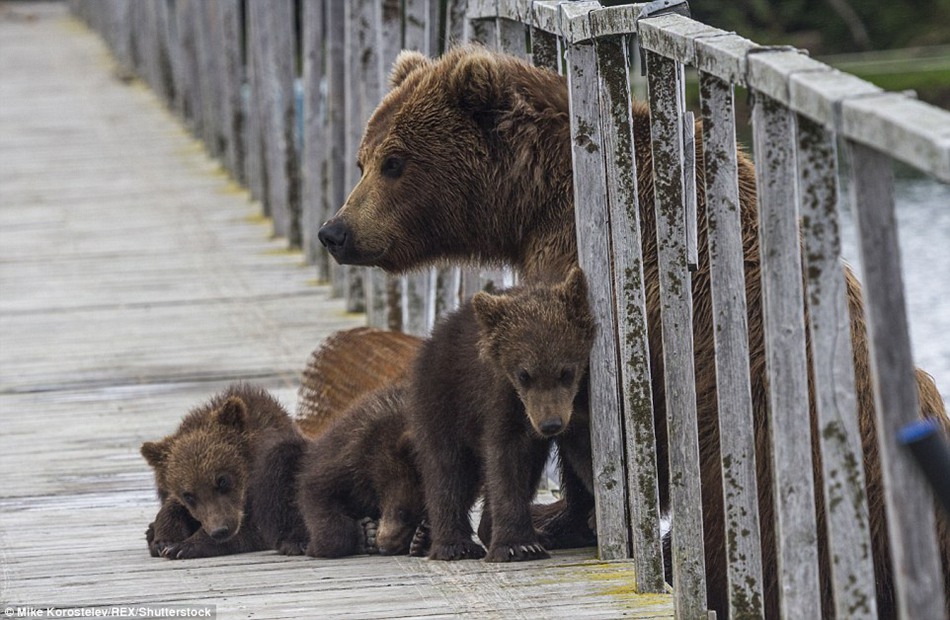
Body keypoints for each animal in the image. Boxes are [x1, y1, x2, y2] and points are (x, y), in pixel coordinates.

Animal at [322, 46, 950, 616]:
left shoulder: (582, 273)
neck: (538, 197)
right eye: (362, 159)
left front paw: (550, 519)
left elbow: (570, 407)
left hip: (763, 465)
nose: (336, 231)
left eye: (395, 162)